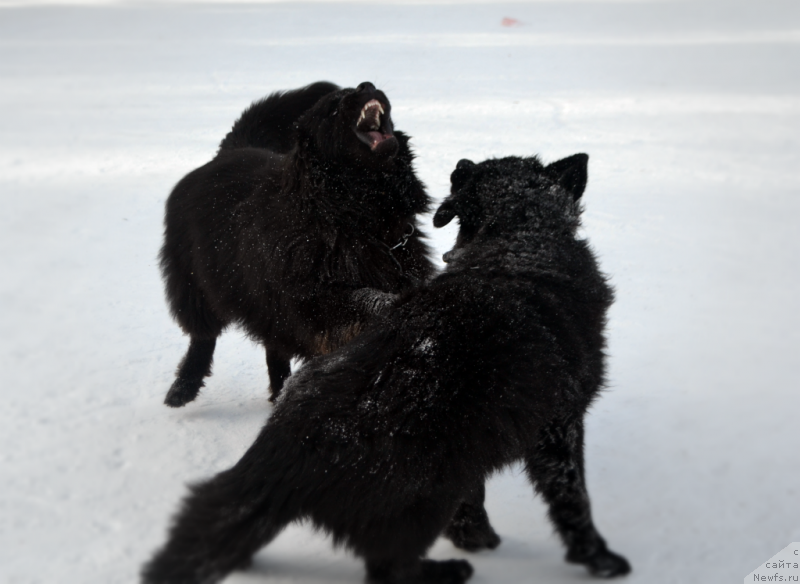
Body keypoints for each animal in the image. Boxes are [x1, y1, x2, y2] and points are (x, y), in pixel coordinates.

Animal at [142, 154, 632, 584]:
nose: (460, 163)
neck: (520, 244)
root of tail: (291, 445)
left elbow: (476, 503)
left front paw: (477, 534)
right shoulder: (559, 426)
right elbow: (574, 501)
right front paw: (599, 559)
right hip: (427, 497)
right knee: (387, 568)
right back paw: (446, 572)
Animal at [160, 81, 434, 406]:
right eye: (333, 106)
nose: (366, 85)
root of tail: (229, 150)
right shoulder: (311, 298)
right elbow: (363, 299)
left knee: (273, 348)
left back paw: (281, 393)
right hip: (196, 286)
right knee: (203, 338)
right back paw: (183, 388)